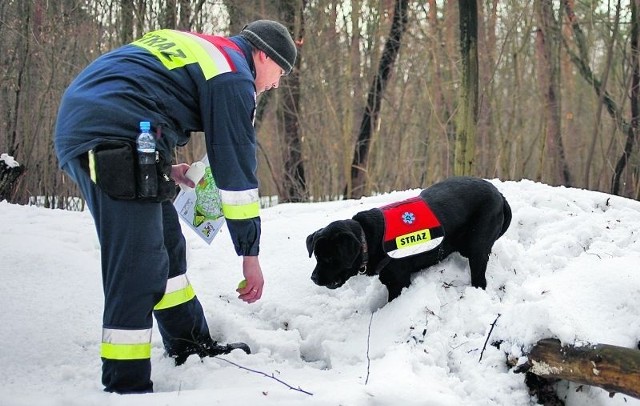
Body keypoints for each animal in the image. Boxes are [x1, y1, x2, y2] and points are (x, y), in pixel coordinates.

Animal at [308, 177, 512, 302]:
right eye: (316, 257)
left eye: (329, 258)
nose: (313, 278)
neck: (368, 237)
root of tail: (500, 195)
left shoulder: (398, 282)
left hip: (477, 248)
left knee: (480, 279)